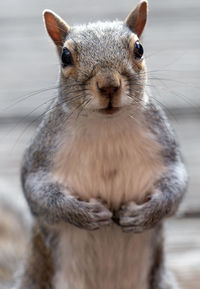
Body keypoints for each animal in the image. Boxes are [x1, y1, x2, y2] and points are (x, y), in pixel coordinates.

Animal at [16, 1, 188, 286]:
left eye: (139, 48)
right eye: (65, 56)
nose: (109, 85)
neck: (107, 126)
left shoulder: (165, 149)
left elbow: (176, 185)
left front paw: (142, 215)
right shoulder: (42, 154)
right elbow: (38, 194)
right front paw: (85, 214)